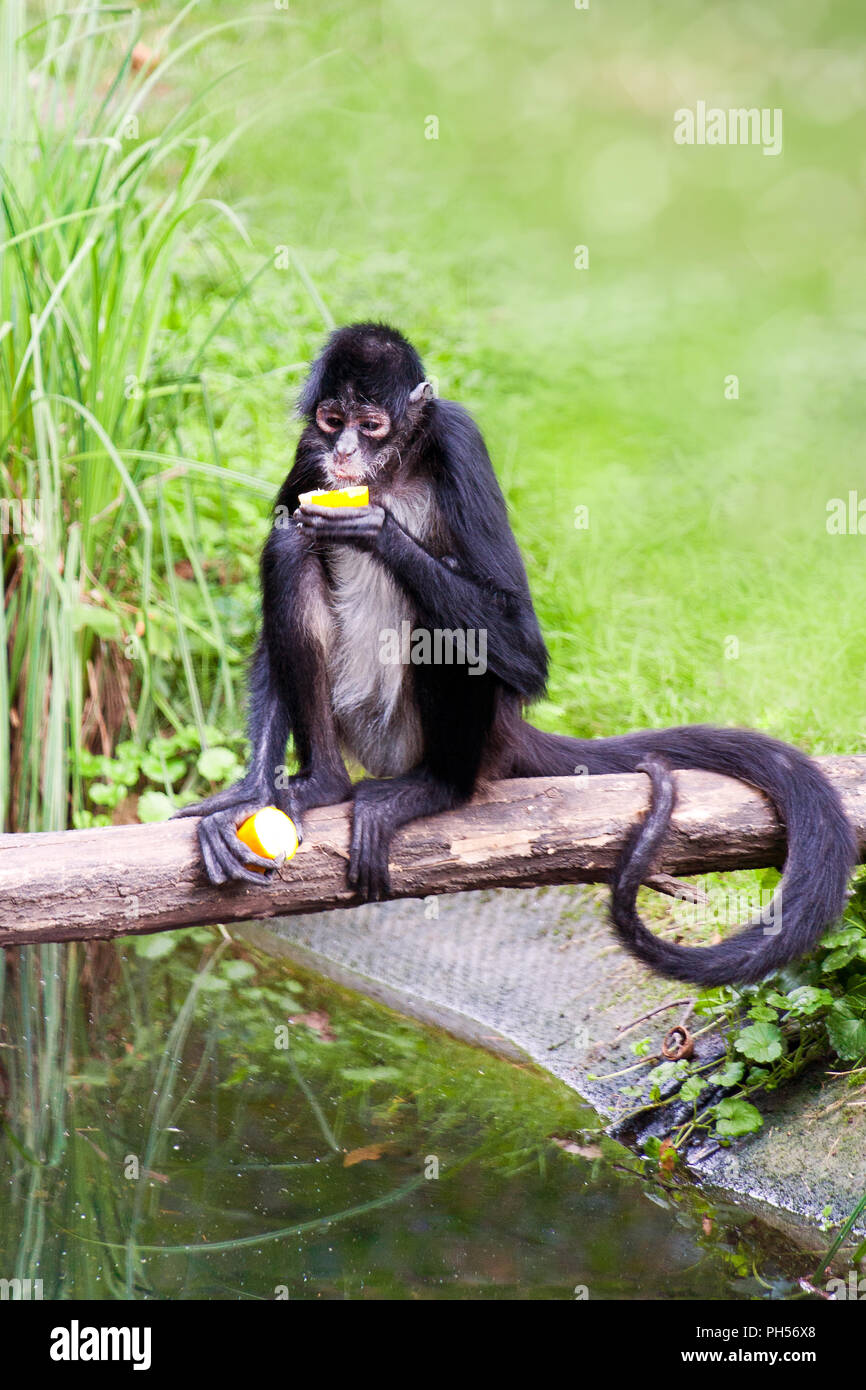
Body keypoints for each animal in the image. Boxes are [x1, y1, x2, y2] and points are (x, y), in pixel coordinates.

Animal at [177, 322, 861, 989]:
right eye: (330, 419)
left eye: (369, 426)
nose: (343, 453)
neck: (389, 474)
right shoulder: (306, 452)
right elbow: (287, 549)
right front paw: (250, 790)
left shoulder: (458, 440)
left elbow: (524, 646)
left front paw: (378, 531)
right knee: (291, 546)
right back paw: (324, 783)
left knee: (445, 622)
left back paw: (435, 791)